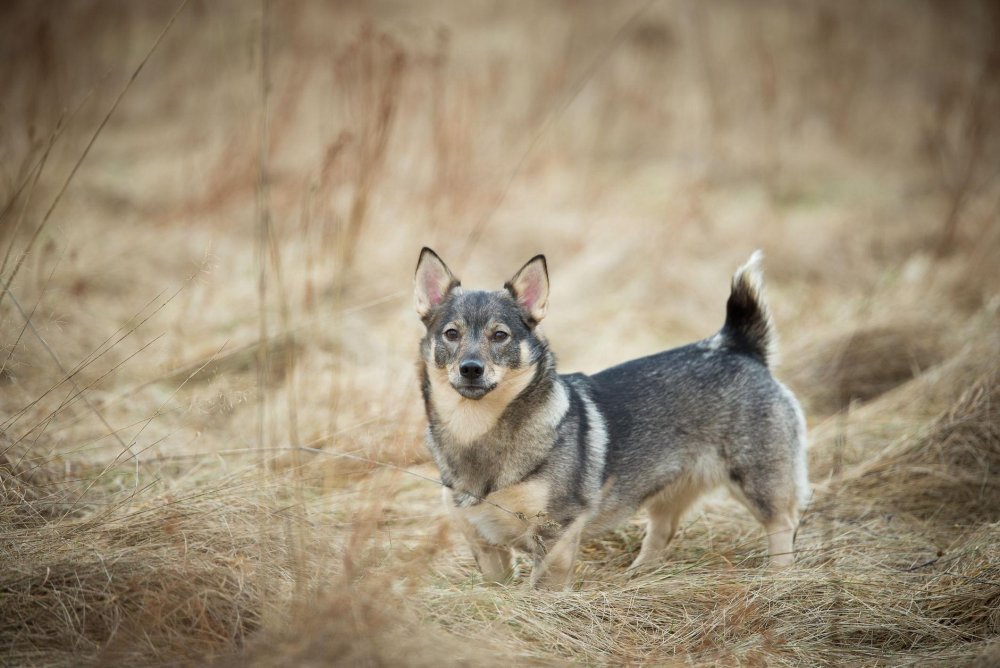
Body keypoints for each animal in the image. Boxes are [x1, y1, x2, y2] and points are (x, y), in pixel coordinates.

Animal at [410, 248, 808, 588]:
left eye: (499, 335)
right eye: (451, 334)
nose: (471, 368)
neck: (478, 430)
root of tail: (736, 345)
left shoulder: (556, 533)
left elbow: (542, 589)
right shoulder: (485, 545)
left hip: (758, 482)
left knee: (783, 525)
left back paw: (780, 579)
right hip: (670, 490)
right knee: (662, 532)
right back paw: (638, 576)